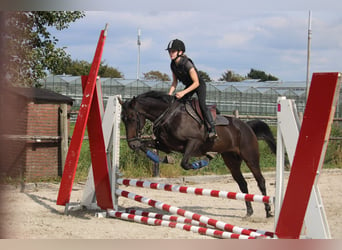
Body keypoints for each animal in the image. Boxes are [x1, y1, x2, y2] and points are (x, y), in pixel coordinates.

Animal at [119, 91, 274, 218]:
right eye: (123, 119)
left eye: (132, 118)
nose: (131, 144)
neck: (169, 116)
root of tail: (247, 126)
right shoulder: (165, 144)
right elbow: (146, 145)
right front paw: (167, 159)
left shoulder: (193, 142)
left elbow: (185, 163)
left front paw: (200, 162)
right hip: (232, 161)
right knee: (242, 184)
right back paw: (249, 212)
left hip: (250, 157)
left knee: (260, 181)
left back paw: (268, 211)